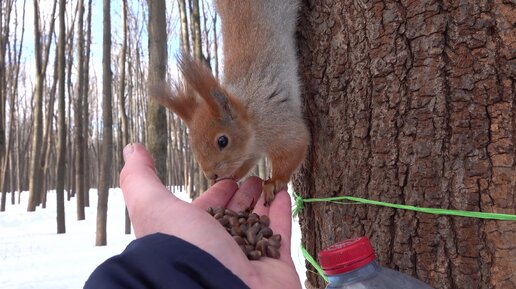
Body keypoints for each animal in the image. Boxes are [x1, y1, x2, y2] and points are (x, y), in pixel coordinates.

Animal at [151, 0, 308, 204]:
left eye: (222, 141)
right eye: (192, 143)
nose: (211, 175)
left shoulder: (275, 120)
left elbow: (296, 144)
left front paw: (274, 181)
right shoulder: (250, 151)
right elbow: (247, 162)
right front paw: (233, 175)